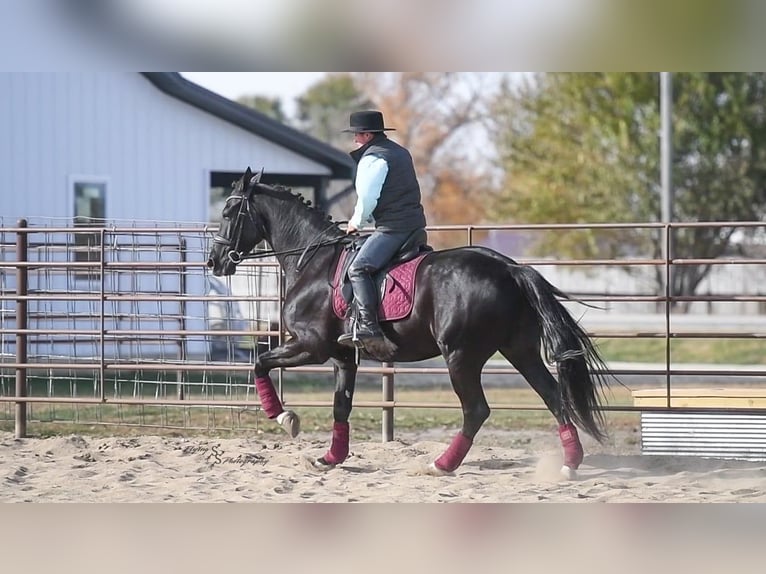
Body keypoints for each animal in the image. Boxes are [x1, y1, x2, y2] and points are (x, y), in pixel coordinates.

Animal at [206, 168, 613, 478]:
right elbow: (341, 406)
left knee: (477, 410)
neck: (313, 262)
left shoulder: (311, 346)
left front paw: (284, 417)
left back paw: (442, 465)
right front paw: (330, 458)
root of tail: (509, 268)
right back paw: (570, 464)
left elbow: (260, 363)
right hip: (519, 350)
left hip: (461, 356)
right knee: (553, 396)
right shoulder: (343, 356)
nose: (215, 261)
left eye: (228, 211)